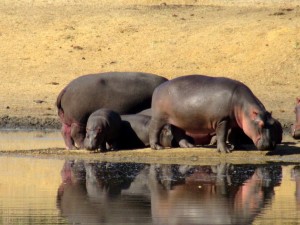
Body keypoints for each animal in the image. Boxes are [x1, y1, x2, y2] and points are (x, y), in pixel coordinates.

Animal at [150, 75, 282, 153]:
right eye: (260, 124)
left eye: (273, 123)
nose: (270, 145)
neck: (244, 107)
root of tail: (157, 88)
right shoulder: (222, 120)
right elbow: (222, 135)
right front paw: (225, 150)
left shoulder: (237, 122)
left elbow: (234, 135)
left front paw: (239, 147)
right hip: (159, 118)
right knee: (154, 130)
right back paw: (157, 147)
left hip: (178, 120)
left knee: (178, 132)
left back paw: (188, 146)